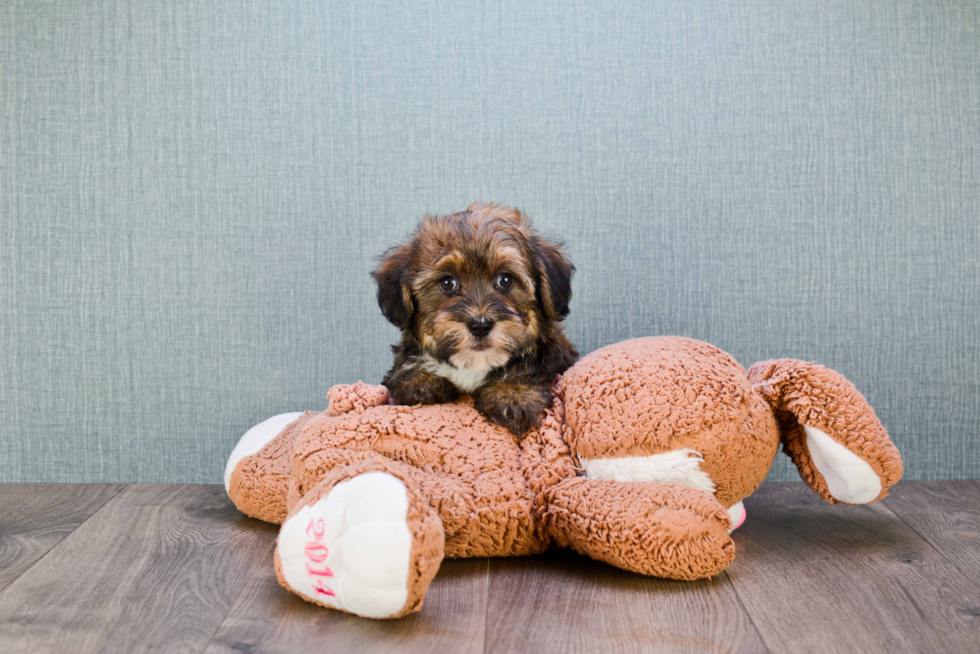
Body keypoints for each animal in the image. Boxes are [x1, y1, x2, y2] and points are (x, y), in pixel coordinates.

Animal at [372, 204, 580, 440]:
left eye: (505, 279)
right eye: (447, 282)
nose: (480, 325)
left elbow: (535, 368)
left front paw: (514, 394)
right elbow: (405, 371)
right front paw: (420, 381)